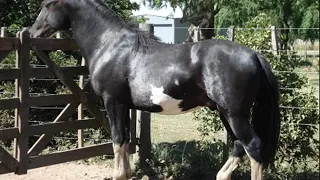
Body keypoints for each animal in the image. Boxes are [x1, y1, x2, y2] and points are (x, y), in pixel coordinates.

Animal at [30, 0, 280, 179]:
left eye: (47, 5)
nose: (32, 33)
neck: (111, 45)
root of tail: (253, 54)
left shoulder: (113, 102)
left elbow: (117, 140)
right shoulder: (125, 106)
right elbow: (125, 143)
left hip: (235, 114)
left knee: (253, 146)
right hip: (224, 112)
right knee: (239, 146)